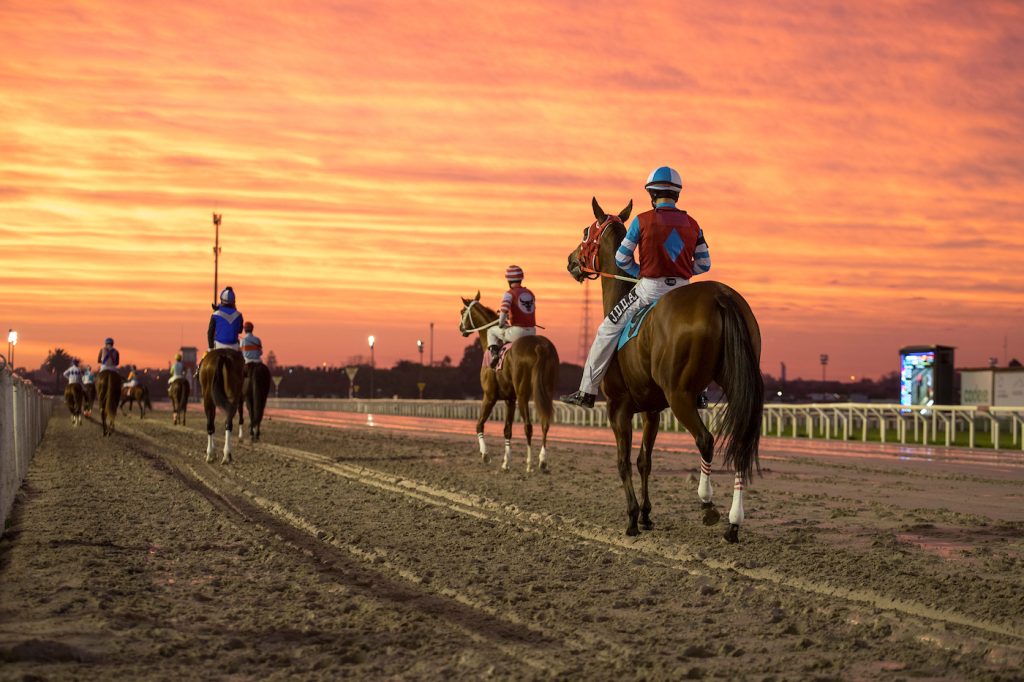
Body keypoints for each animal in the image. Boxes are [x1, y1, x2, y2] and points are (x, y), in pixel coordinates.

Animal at [462, 292, 565, 473]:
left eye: (462, 312)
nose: (461, 328)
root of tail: (540, 346)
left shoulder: (489, 396)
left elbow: (479, 424)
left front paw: (485, 455)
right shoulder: (510, 399)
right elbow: (507, 430)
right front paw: (505, 463)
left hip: (523, 393)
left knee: (528, 426)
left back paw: (529, 464)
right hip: (547, 391)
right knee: (545, 423)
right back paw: (542, 462)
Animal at [565, 197, 765, 540]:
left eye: (585, 231)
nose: (571, 261)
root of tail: (721, 296)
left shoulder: (618, 407)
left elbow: (623, 461)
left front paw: (633, 518)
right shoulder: (652, 410)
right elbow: (644, 460)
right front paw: (646, 515)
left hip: (680, 393)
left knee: (705, 440)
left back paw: (707, 504)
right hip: (735, 384)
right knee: (740, 441)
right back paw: (733, 523)